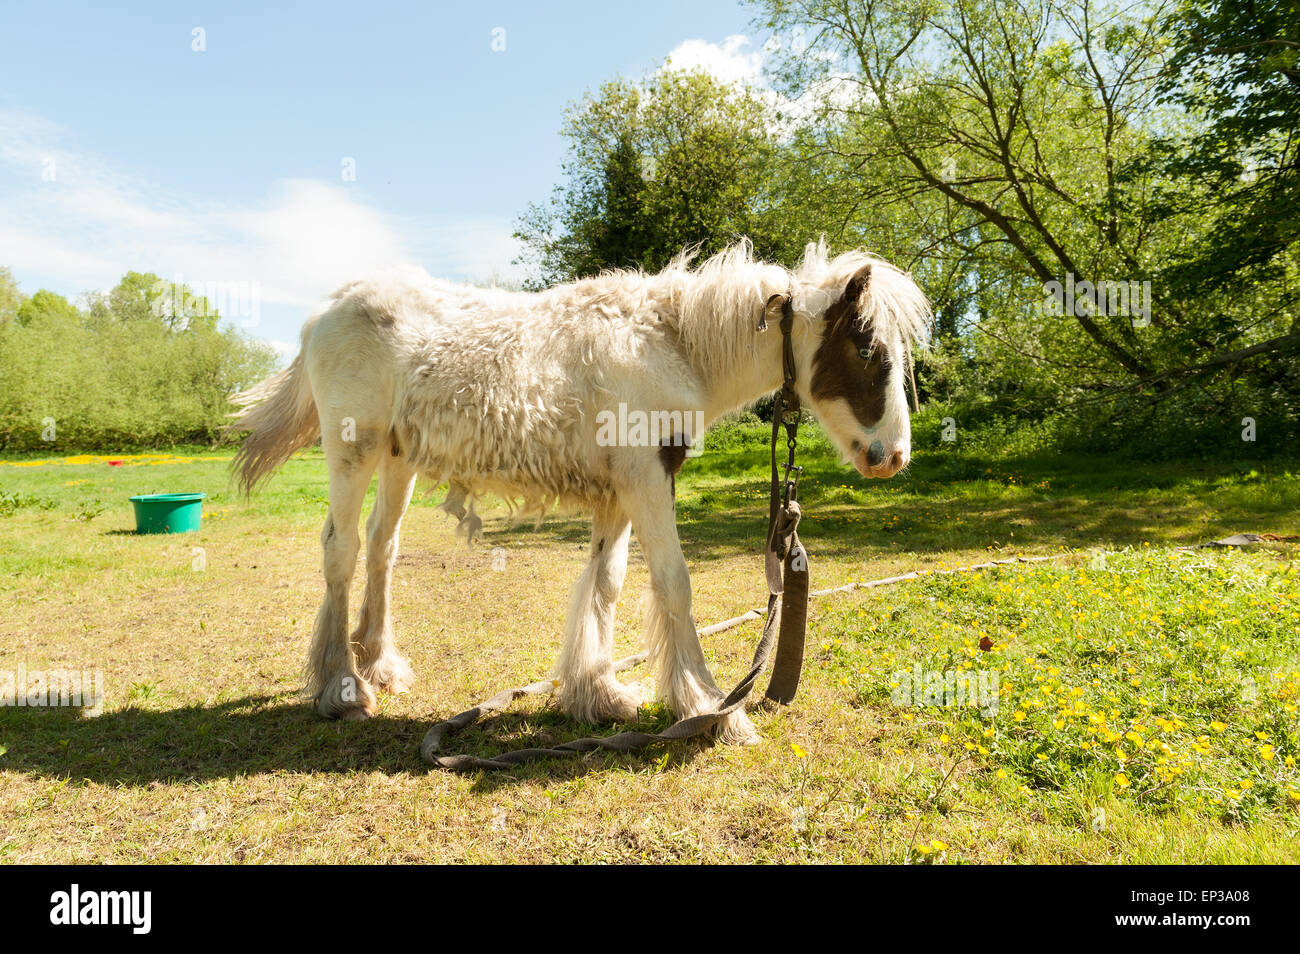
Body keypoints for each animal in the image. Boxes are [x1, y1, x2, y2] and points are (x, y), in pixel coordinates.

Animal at [231, 240, 925, 748]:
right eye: (868, 348)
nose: (893, 457)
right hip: (353, 450)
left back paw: (379, 664)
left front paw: (601, 695)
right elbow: (674, 583)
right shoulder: (646, 478)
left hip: (399, 460)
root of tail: (325, 311)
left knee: (381, 548)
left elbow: (607, 583)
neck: (671, 343)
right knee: (341, 550)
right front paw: (712, 709)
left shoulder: (620, 489)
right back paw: (342, 689)